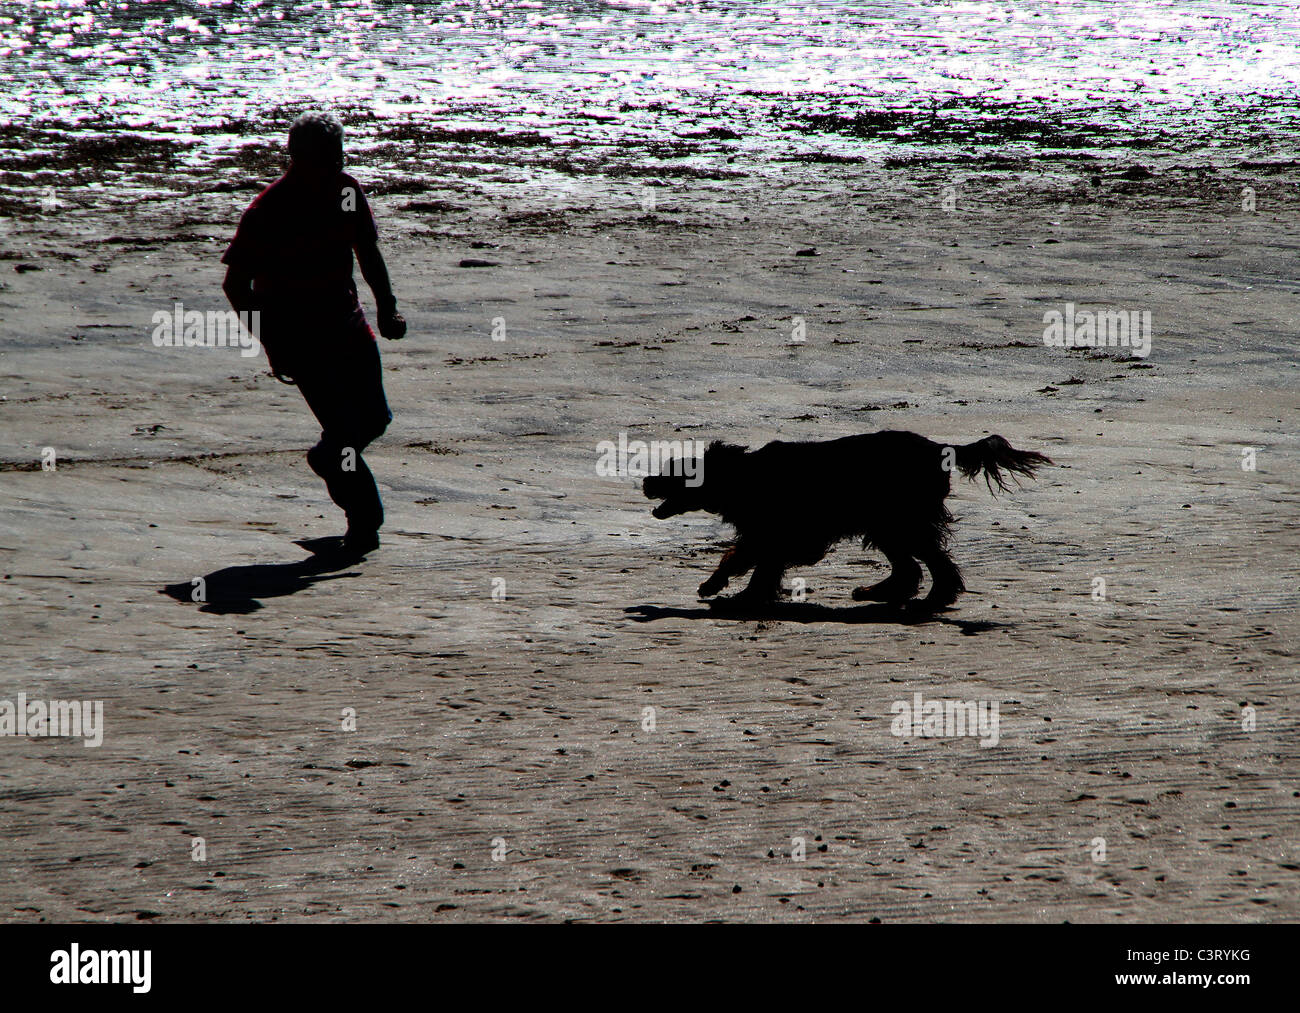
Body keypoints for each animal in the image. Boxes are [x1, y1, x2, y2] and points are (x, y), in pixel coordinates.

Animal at [644, 429, 1050, 611]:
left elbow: (754, 562)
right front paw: (728, 589)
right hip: (887, 526)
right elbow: (749, 560)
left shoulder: (780, 534)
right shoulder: (772, 535)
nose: (647, 481)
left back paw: (933, 597)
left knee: (933, 564)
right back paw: (878, 593)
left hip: (900, 521)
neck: (745, 477)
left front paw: (737, 594)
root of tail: (940, 449)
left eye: (676, 472)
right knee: (909, 568)